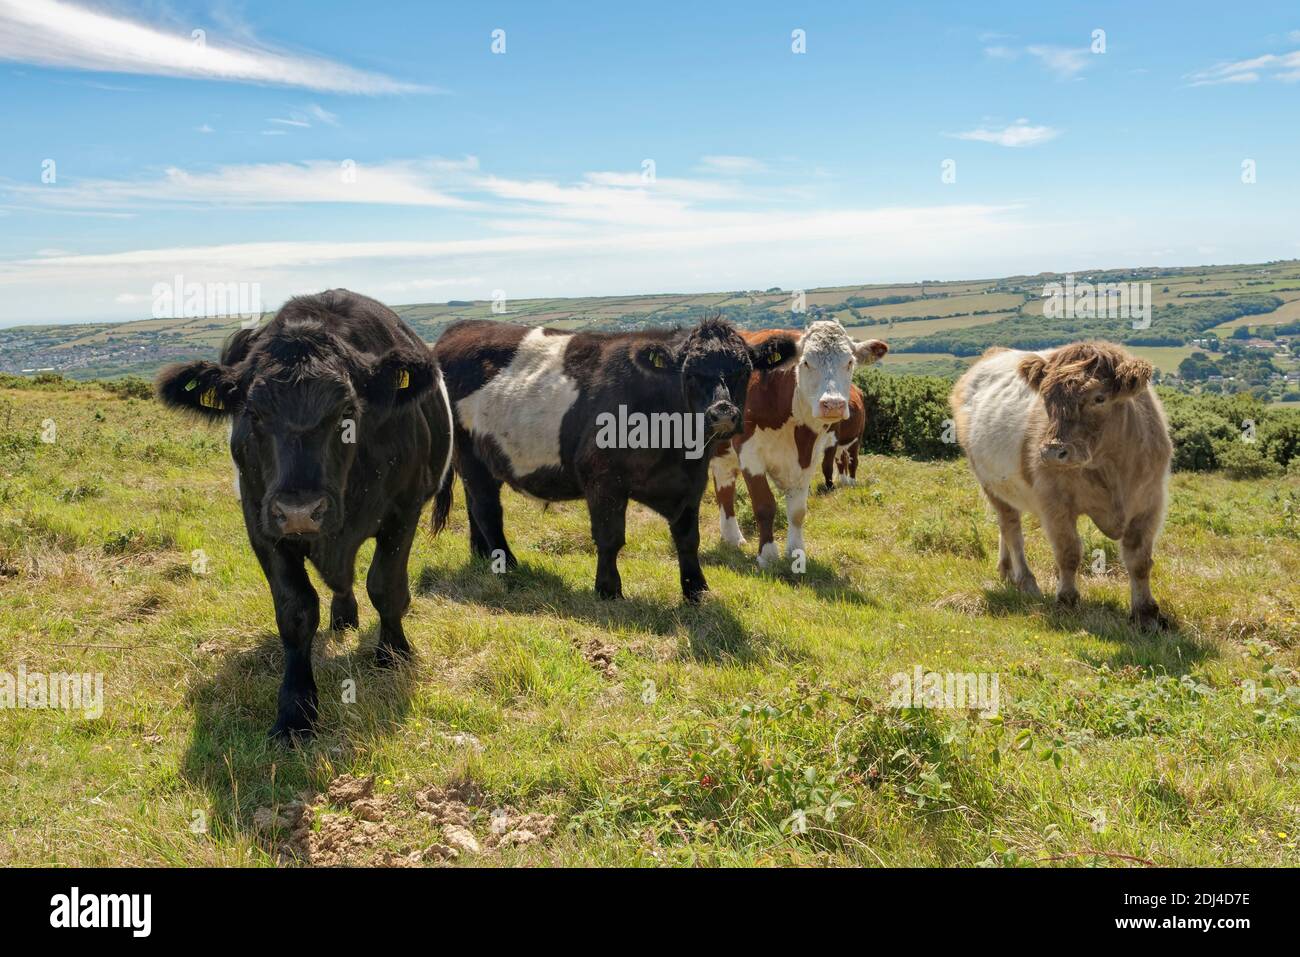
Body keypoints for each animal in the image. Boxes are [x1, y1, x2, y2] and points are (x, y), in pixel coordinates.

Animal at [154, 289, 452, 738]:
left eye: (347, 411)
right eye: (252, 414)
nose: (299, 511)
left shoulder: (405, 509)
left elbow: (386, 587)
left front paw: (393, 653)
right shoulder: (261, 522)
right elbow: (296, 610)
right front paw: (295, 711)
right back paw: (343, 617)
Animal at [431, 315, 795, 598]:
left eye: (744, 371)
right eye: (689, 373)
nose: (722, 413)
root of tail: (456, 330)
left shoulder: (691, 482)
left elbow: (688, 539)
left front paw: (696, 590)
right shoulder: (603, 480)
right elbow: (610, 538)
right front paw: (608, 589)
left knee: (476, 507)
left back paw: (482, 556)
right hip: (470, 455)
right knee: (487, 509)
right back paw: (506, 563)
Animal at [712, 319, 883, 566]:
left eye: (849, 362)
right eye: (806, 362)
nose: (833, 404)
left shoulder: (808, 456)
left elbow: (797, 511)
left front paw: (795, 551)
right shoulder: (749, 451)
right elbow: (764, 504)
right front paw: (767, 556)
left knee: (724, 488)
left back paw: (733, 538)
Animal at [951, 340, 1175, 631]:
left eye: (1099, 398)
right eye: (1046, 398)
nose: (1051, 452)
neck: (1110, 467)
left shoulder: (1150, 502)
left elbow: (1139, 560)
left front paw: (1146, 614)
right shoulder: (1055, 504)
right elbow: (1068, 552)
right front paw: (1067, 601)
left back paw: (1006, 570)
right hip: (988, 482)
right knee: (1011, 528)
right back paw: (1025, 581)